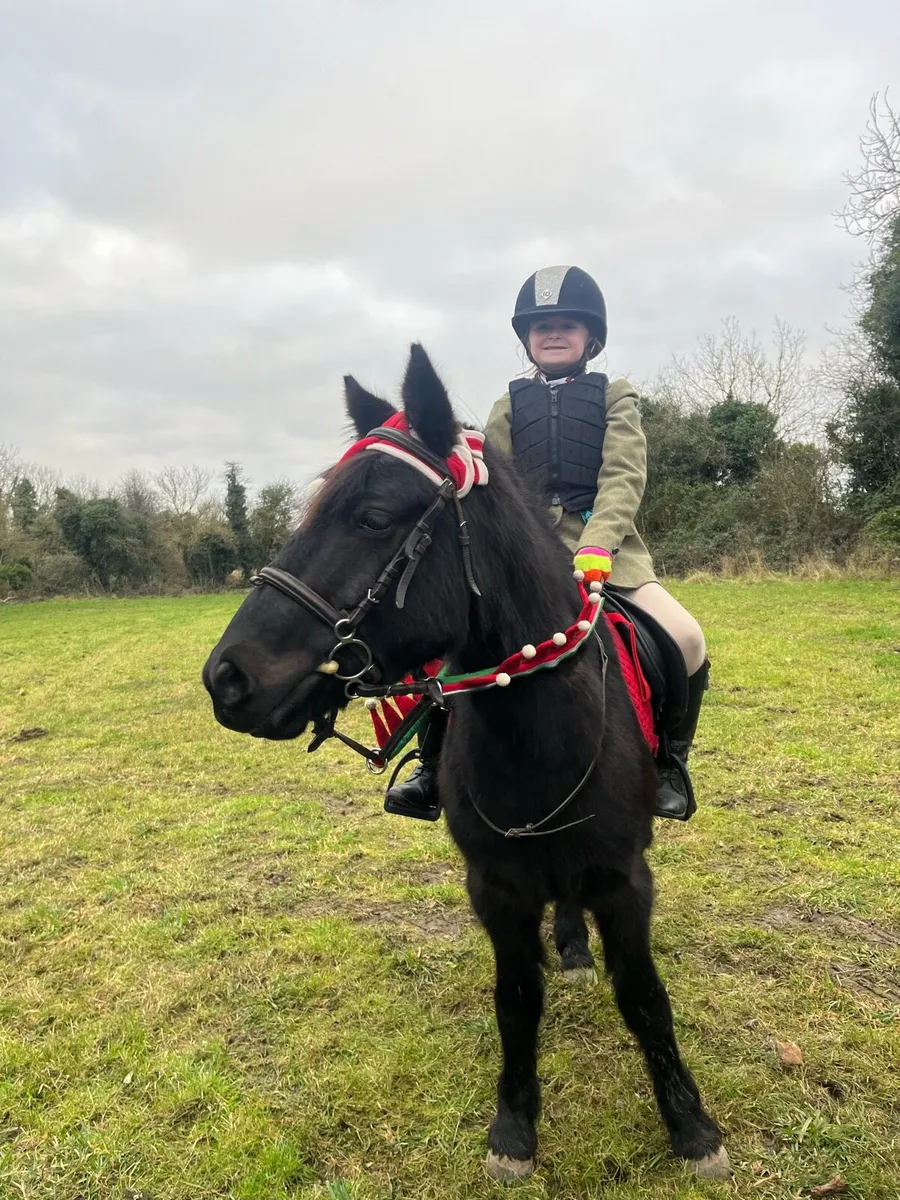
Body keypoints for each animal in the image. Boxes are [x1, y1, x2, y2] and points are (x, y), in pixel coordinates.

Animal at [202, 345, 730, 1183]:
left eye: (372, 518)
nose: (227, 678)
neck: (538, 734)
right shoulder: (497, 886)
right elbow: (516, 1000)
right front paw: (514, 1130)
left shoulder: (624, 881)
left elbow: (645, 998)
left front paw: (691, 1128)